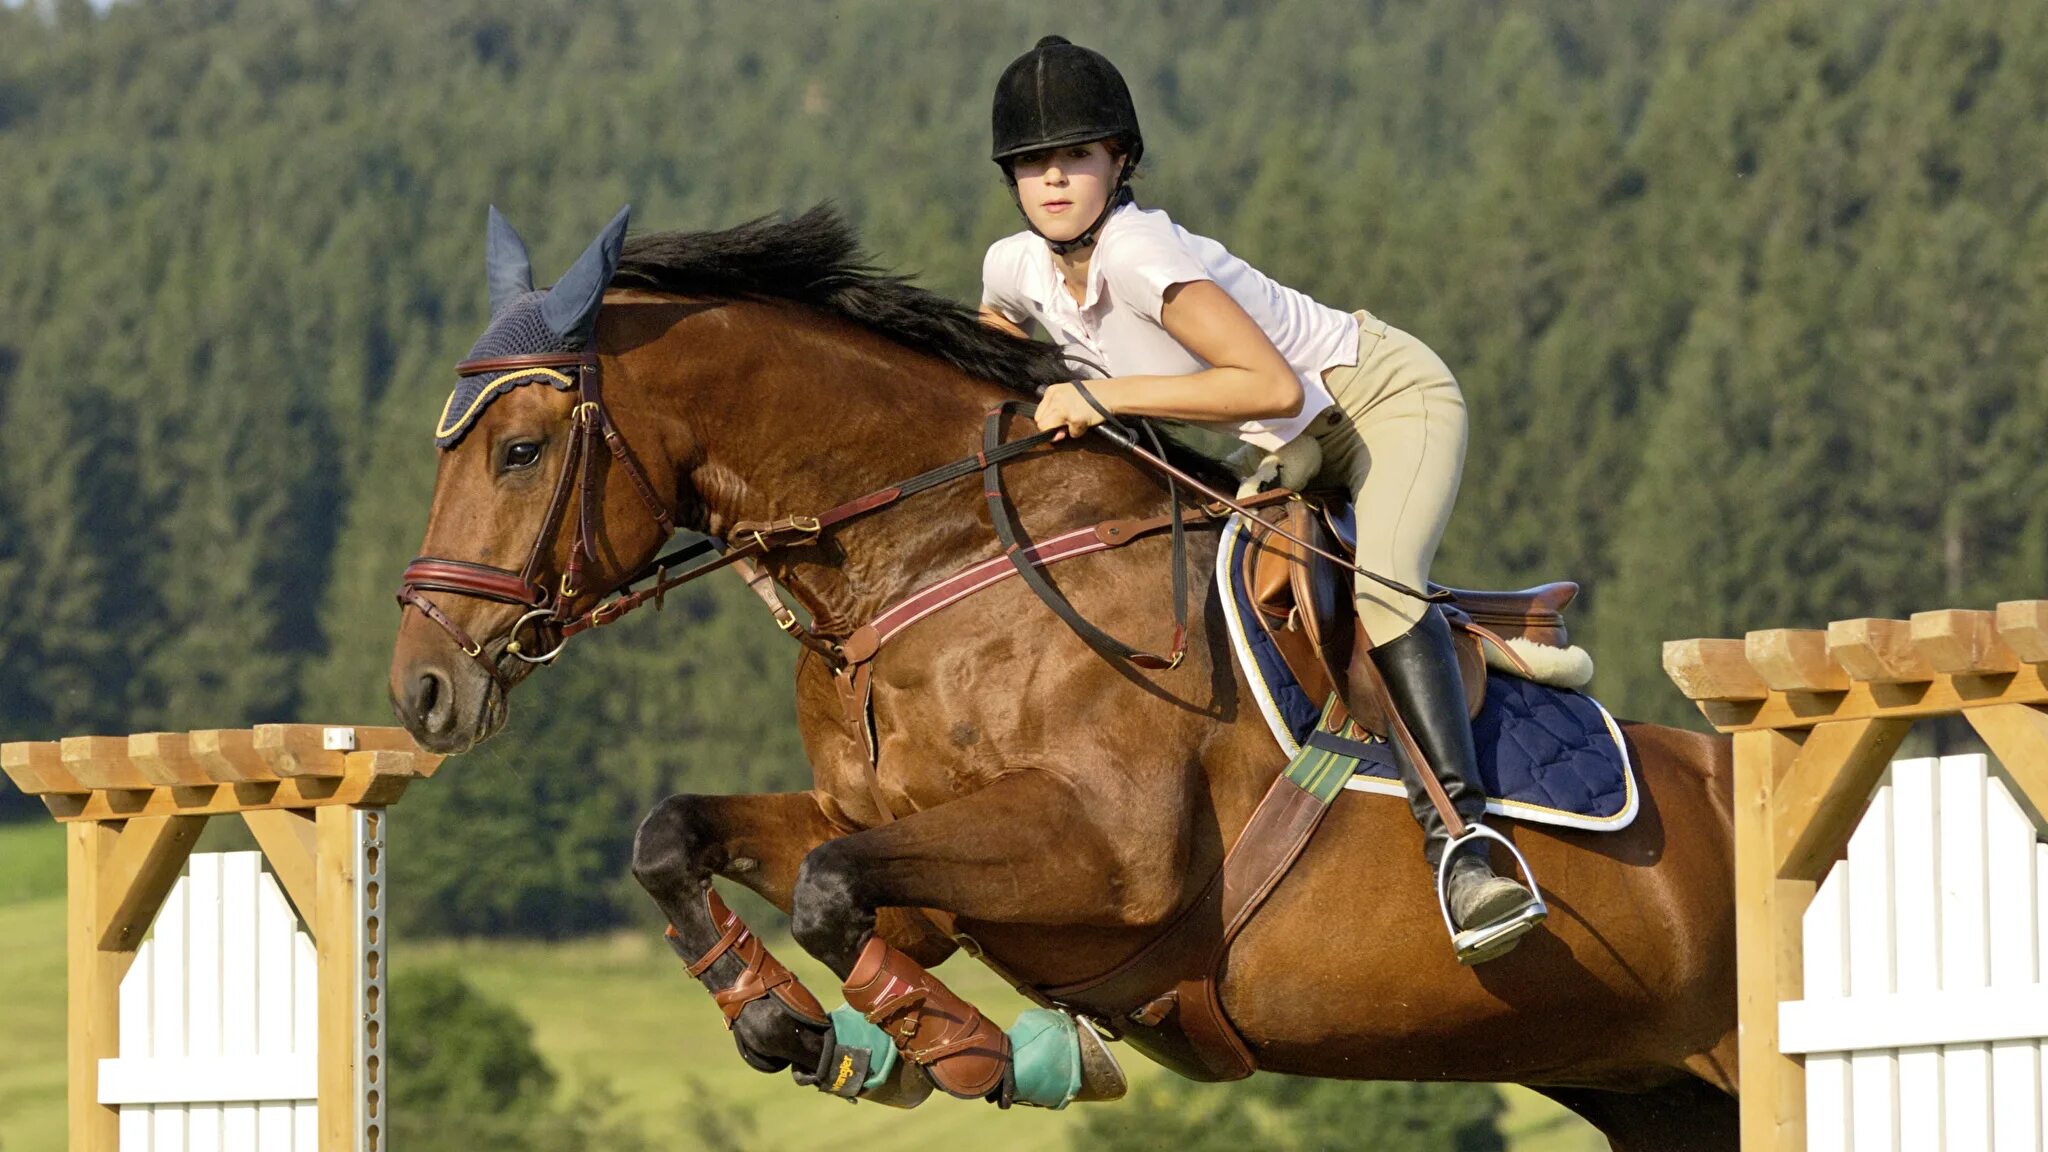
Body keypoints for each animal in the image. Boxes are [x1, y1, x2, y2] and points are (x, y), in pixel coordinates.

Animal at [387, 208, 1744, 1147]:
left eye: (517, 451)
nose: (422, 691)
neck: (941, 554)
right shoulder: (898, 851)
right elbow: (679, 839)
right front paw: (793, 1024)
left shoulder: (1110, 856)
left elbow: (830, 891)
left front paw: (965, 1049)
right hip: (1656, 1095)